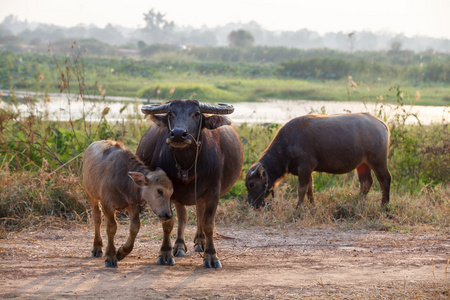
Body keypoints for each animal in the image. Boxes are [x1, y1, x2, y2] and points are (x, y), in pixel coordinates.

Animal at [81, 140, 173, 268]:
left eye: (171, 193)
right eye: (159, 191)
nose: (168, 215)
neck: (124, 179)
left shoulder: (132, 205)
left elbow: (135, 227)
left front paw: (121, 252)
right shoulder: (107, 205)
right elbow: (111, 228)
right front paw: (110, 256)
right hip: (91, 196)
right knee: (97, 217)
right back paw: (97, 247)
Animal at [136, 99, 243, 268]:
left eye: (197, 114)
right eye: (170, 114)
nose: (178, 134)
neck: (187, 164)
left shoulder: (214, 191)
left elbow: (208, 223)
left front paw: (211, 256)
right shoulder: (166, 191)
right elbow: (169, 222)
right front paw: (165, 253)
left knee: (199, 213)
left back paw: (200, 241)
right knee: (184, 215)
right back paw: (180, 245)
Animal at [246, 112, 390, 209]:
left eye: (251, 184)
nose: (251, 205)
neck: (287, 144)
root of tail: (381, 124)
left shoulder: (305, 166)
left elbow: (301, 190)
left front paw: (298, 208)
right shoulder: (307, 170)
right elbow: (310, 189)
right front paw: (312, 206)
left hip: (378, 161)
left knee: (385, 179)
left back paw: (384, 206)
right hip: (363, 164)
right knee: (366, 183)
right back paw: (356, 202)